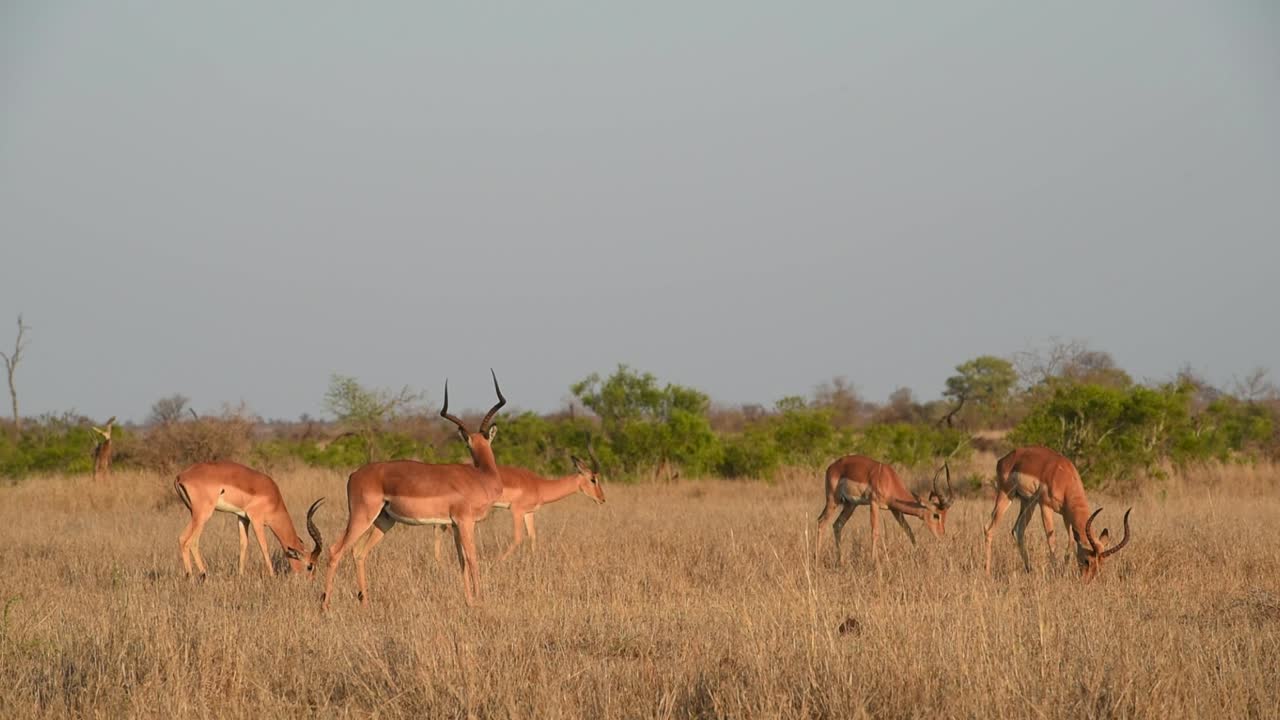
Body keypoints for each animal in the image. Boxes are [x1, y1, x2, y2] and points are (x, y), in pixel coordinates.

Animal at [174, 461, 325, 579]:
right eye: (310, 566)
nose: (311, 581)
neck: (273, 498)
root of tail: (181, 476)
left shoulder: (242, 518)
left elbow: (243, 544)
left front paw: (241, 575)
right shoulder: (256, 519)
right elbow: (264, 546)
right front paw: (272, 576)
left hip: (194, 513)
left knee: (184, 539)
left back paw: (193, 575)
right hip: (203, 515)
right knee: (189, 540)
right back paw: (199, 575)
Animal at [321, 372, 507, 609]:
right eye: (468, 445)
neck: (482, 477)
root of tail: (354, 475)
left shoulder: (455, 525)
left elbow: (461, 561)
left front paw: (469, 601)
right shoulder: (465, 522)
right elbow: (472, 559)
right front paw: (480, 601)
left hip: (383, 521)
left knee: (358, 552)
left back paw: (365, 603)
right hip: (362, 517)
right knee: (335, 550)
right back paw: (325, 607)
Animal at [815, 455, 954, 565]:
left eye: (945, 516)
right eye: (936, 515)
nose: (942, 535)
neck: (889, 479)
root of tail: (832, 467)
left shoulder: (894, 509)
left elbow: (908, 530)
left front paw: (917, 552)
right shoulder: (874, 503)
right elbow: (875, 531)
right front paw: (873, 561)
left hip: (850, 505)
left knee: (837, 525)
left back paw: (841, 562)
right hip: (833, 500)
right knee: (821, 521)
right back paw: (818, 560)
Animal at [984, 446, 1132, 582]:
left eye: (1100, 565)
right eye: (1087, 560)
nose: (1086, 581)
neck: (1064, 477)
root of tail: (1004, 460)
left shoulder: (1066, 515)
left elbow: (1071, 542)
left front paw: (1063, 573)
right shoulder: (1046, 507)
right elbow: (1052, 540)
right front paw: (1055, 573)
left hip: (1028, 502)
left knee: (1017, 530)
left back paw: (1029, 569)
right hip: (1006, 494)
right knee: (989, 529)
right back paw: (987, 573)